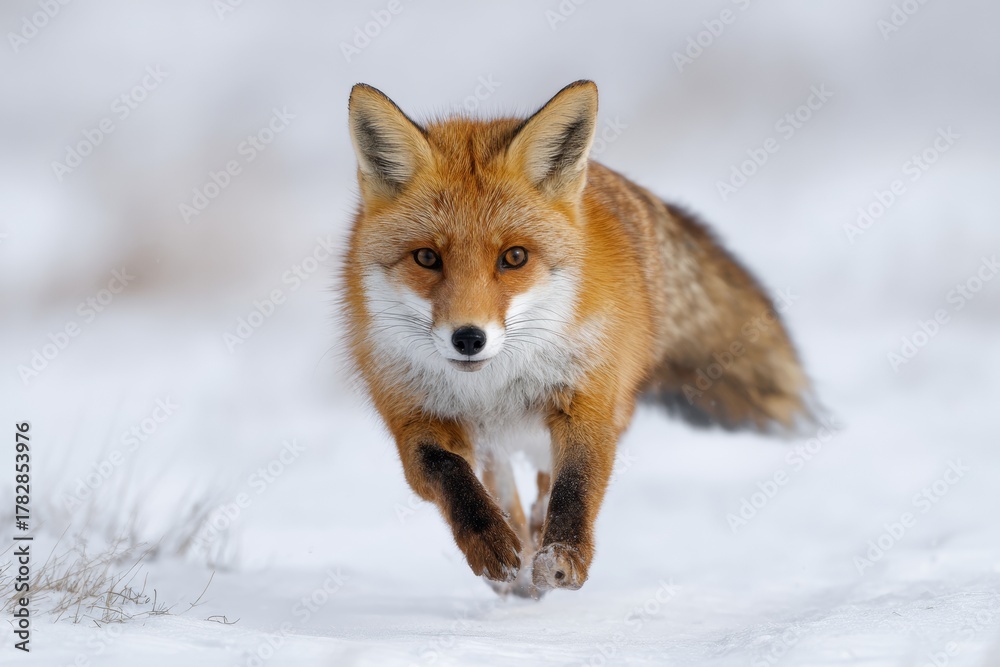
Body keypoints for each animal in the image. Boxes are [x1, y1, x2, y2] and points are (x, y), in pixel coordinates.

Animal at [340, 80, 810, 598]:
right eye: (426, 257)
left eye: (514, 257)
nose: (468, 338)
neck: (493, 387)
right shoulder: (413, 417)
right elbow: (454, 478)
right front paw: (492, 545)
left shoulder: (587, 400)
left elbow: (575, 484)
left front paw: (562, 557)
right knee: (498, 475)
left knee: (546, 479)